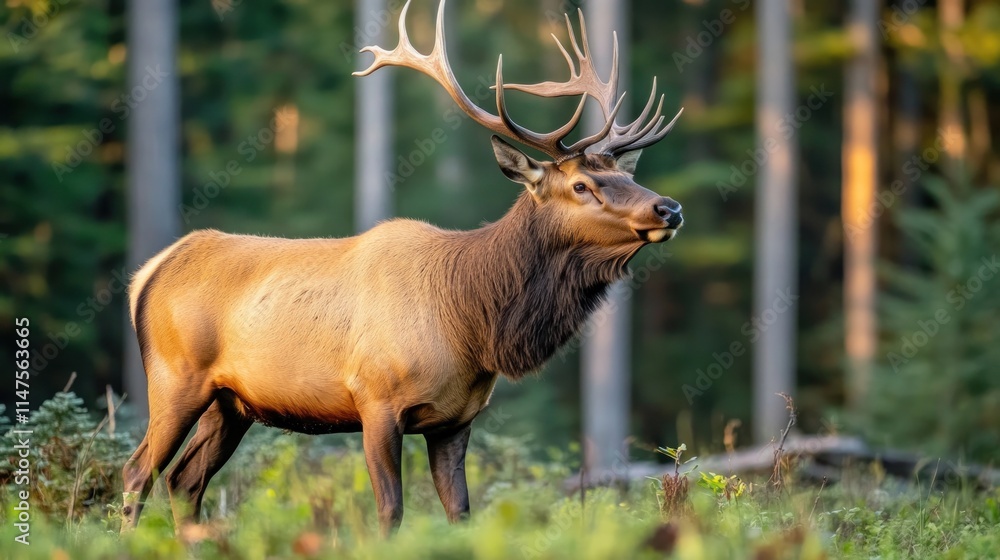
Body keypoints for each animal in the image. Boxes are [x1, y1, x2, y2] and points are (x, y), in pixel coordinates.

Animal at [120, 0, 683, 537]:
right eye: (581, 186)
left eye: (624, 175)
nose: (669, 208)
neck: (472, 323)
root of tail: (147, 273)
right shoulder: (375, 400)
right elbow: (390, 510)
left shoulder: (455, 420)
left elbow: (460, 512)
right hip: (175, 378)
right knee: (139, 471)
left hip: (231, 402)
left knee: (184, 480)